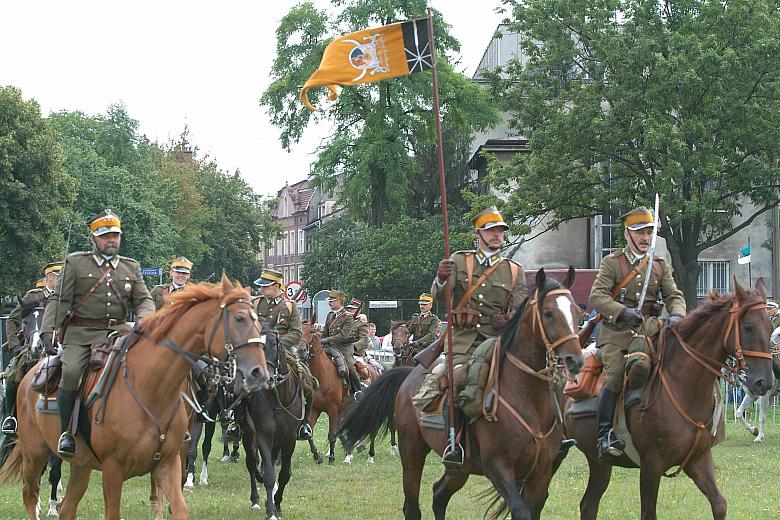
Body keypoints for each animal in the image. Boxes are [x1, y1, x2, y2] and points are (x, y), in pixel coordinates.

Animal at [0, 274, 270, 516]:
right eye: (239, 318)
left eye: (259, 323)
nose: (259, 373)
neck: (151, 388)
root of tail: (32, 373)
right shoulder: (112, 470)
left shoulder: (167, 462)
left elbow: (178, 506)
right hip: (35, 453)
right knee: (31, 494)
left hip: (80, 465)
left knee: (68, 507)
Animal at [241, 322, 304, 516]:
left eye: (274, 345)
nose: (265, 378)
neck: (278, 399)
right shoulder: (264, 436)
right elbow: (269, 474)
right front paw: (271, 510)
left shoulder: (289, 438)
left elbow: (284, 474)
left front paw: (277, 503)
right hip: (248, 433)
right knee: (251, 463)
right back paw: (255, 499)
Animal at [338, 268, 580, 520]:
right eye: (548, 312)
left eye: (577, 312)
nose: (575, 360)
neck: (528, 399)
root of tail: (410, 375)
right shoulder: (498, 467)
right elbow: (520, 510)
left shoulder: (541, 474)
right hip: (413, 453)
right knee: (412, 506)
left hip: (460, 468)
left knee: (439, 494)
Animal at [564, 280, 776, 520]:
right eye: (748, 327)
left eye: (770, 328)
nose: (765, 382)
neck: (684, 386)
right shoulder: (651, 465)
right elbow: (649, 512)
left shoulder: (698, 460)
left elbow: (719, 504)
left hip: (599, 463)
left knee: (588, 505)